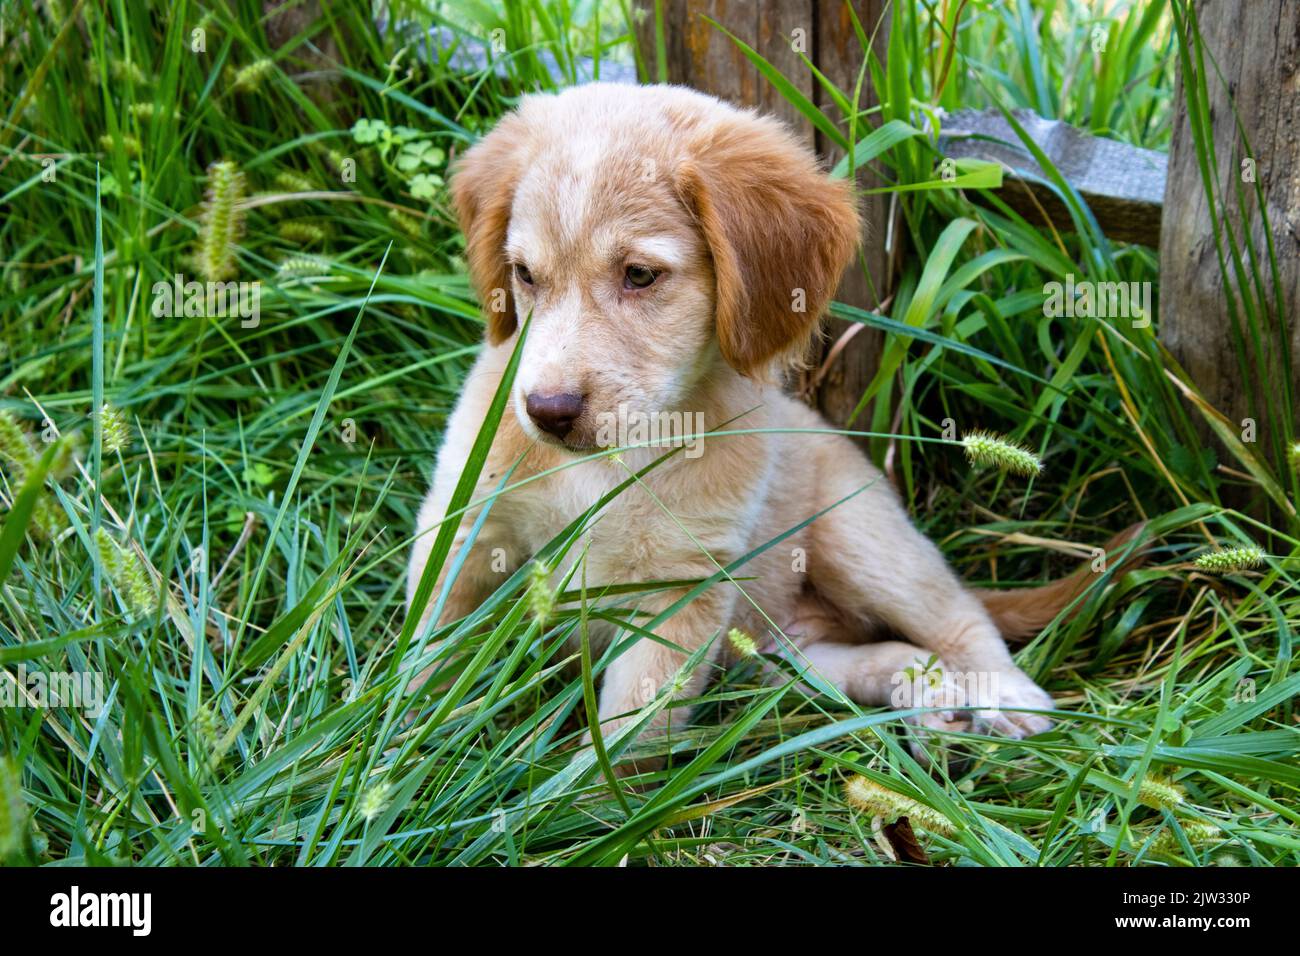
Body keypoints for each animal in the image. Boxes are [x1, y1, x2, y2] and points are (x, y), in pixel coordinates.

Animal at [408, 85, 1128, 764]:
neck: (611, 462)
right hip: (783, 653)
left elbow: (629, 736)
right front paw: (402, 739)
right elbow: (427, 648)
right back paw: (928, 698)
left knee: (961, 618)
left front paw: (583, 801)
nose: (548, 411)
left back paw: (1005, 698)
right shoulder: (466, 526)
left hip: (864, 538)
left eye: (640, 275)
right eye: (525, 276)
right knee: (868, 657)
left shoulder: (681, 590)